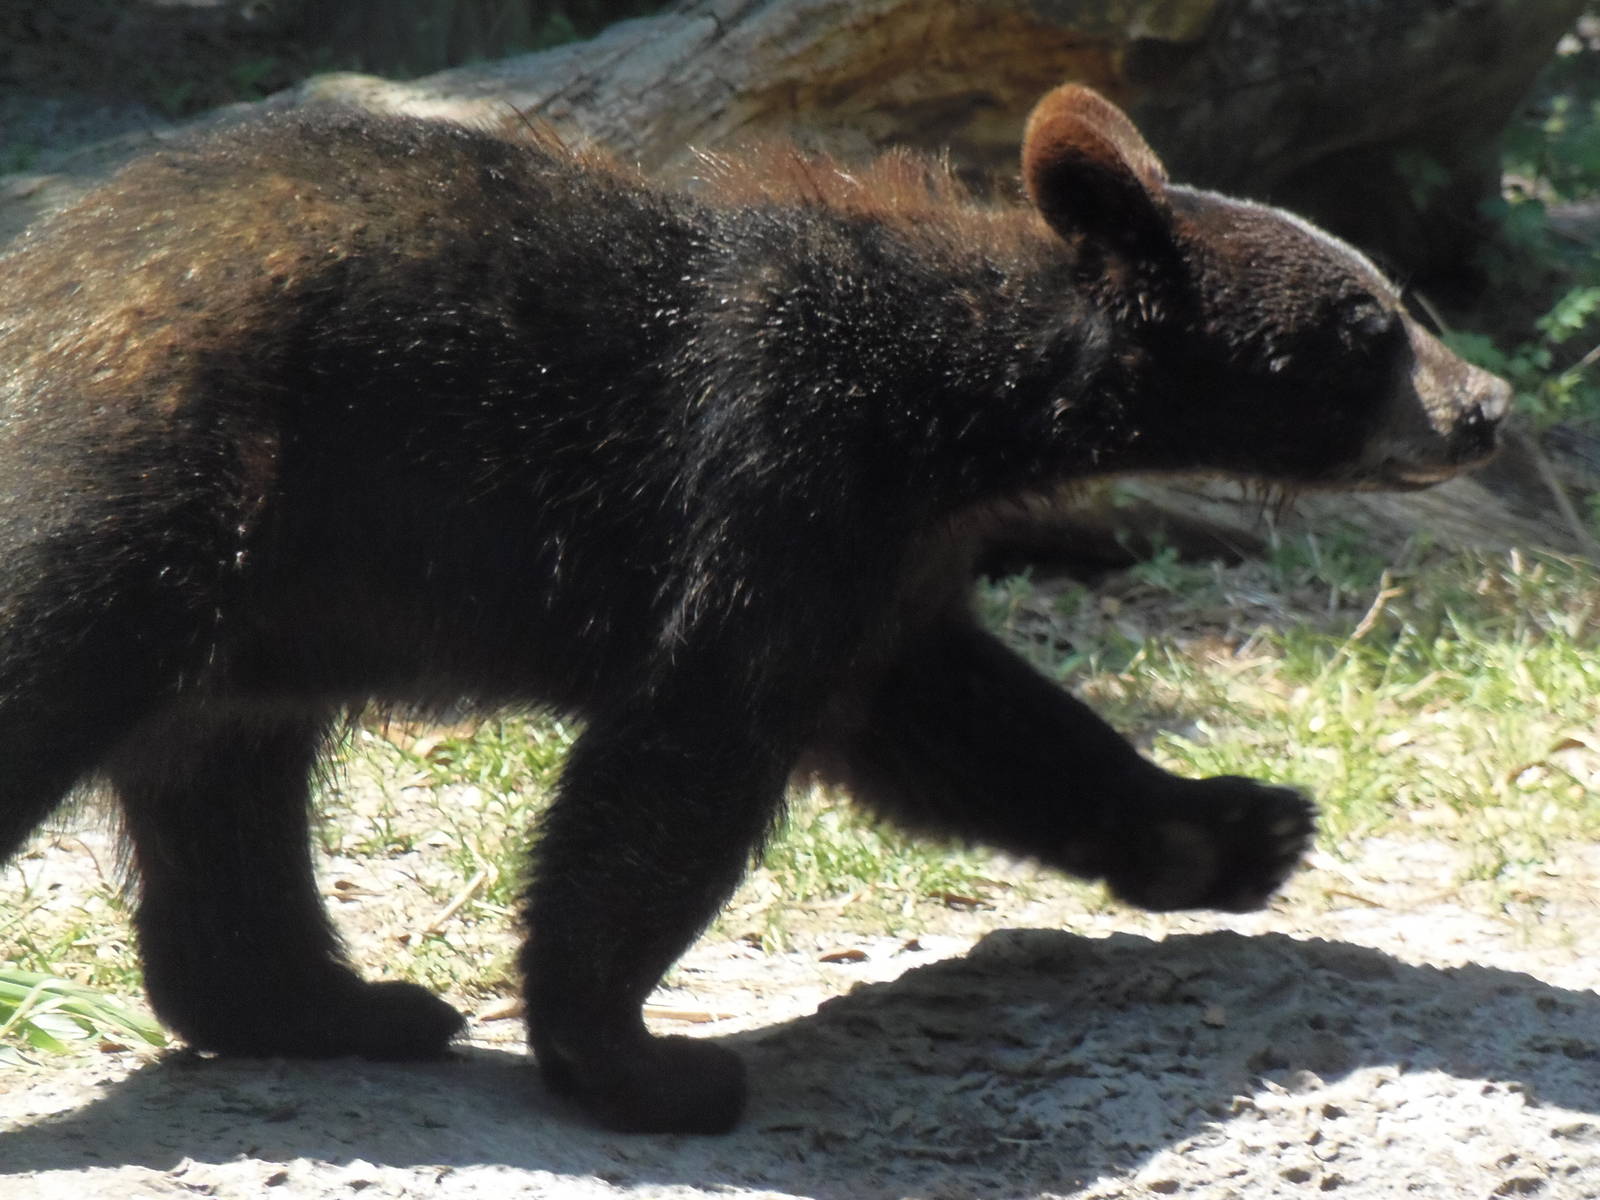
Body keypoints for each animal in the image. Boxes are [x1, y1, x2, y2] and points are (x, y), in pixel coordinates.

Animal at [0, 84, 1507, 1134]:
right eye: (1367, 328)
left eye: (1398, 295)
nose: (1485, 408)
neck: (954, 401)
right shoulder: (775, 471)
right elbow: (685, 756)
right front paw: (640, 1063)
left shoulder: (887, 564)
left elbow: (966, 720)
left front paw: (1235, 828)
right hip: (154, 485)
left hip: (256, 597)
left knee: (225, 788)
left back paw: (329, 1005)